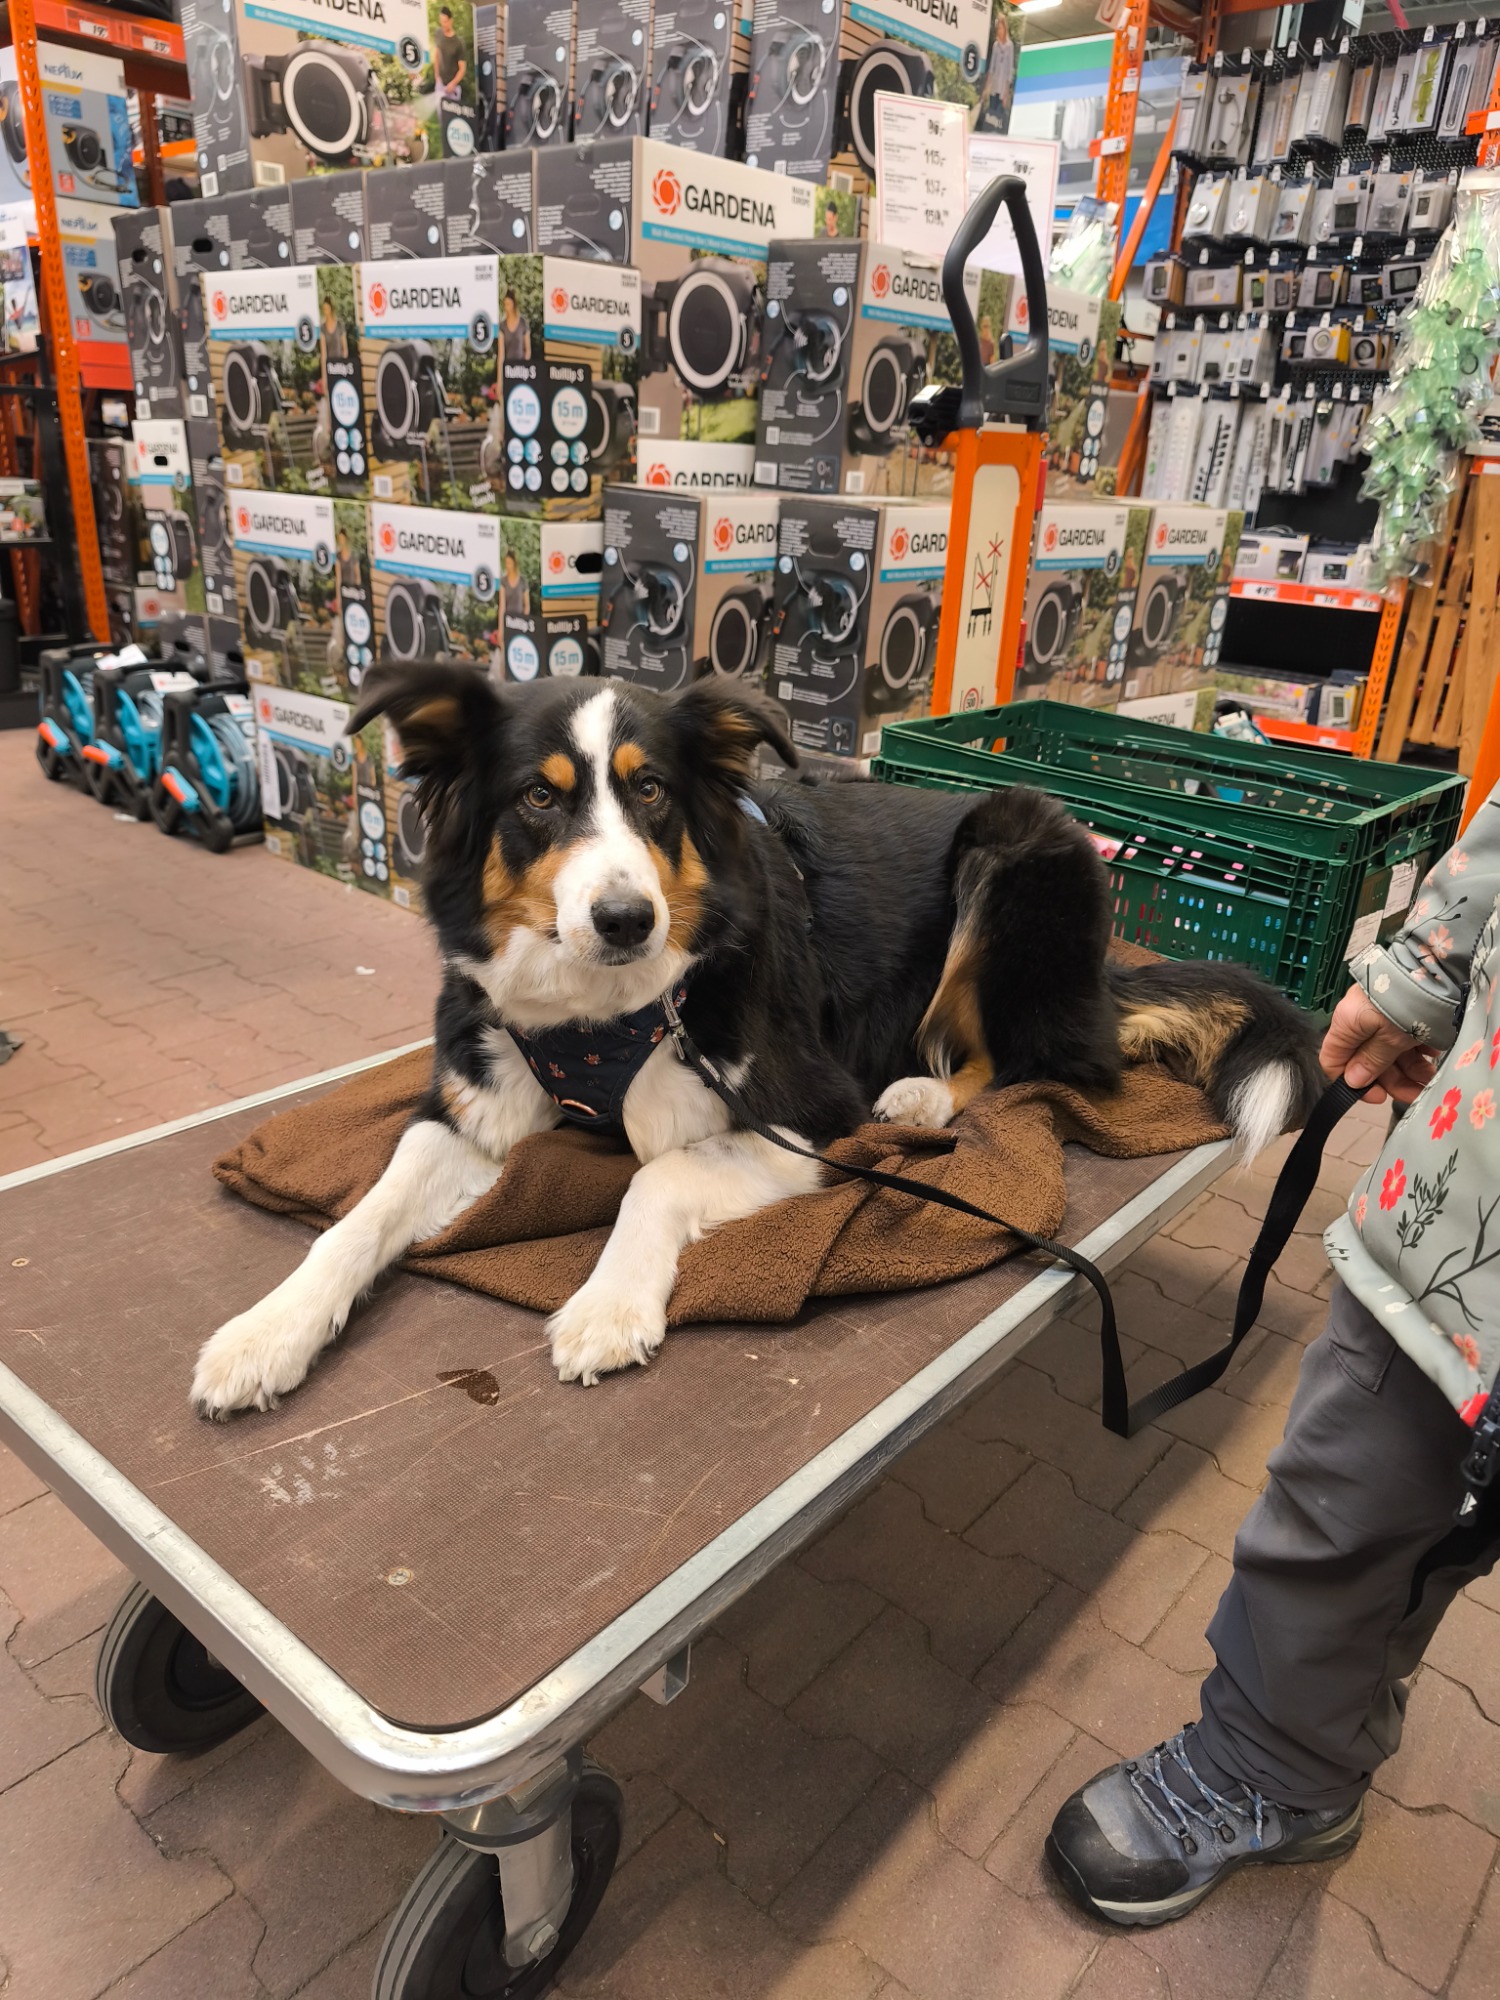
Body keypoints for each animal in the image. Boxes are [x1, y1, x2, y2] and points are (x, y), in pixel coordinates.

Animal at [191, 666, 1323, 1416]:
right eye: (540, 797)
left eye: (651, 790)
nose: (626, 920)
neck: (603, 1008)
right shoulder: (470, 1107)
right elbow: (358, 1218)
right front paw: (266, 1331)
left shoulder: (801, 1115)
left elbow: (656, 1174)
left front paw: (607, 1304)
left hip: (1014, 849)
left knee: (1026, 1057)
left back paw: (920, 1094)